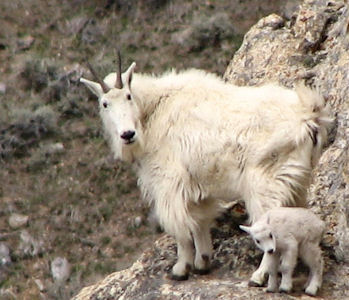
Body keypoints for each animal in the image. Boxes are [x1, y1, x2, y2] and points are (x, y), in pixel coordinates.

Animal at [79, 54, 332, 282]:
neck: (153, 111)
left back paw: (258, 276)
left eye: (129, 96)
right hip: (298, 180)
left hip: (264, 183)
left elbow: (180, 229)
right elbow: (200, 222)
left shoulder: (168, 182)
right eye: (105, 104)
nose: (127, 134)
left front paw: (181, 269)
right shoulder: (199, 187)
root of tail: (309, 117)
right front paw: (203, 262)